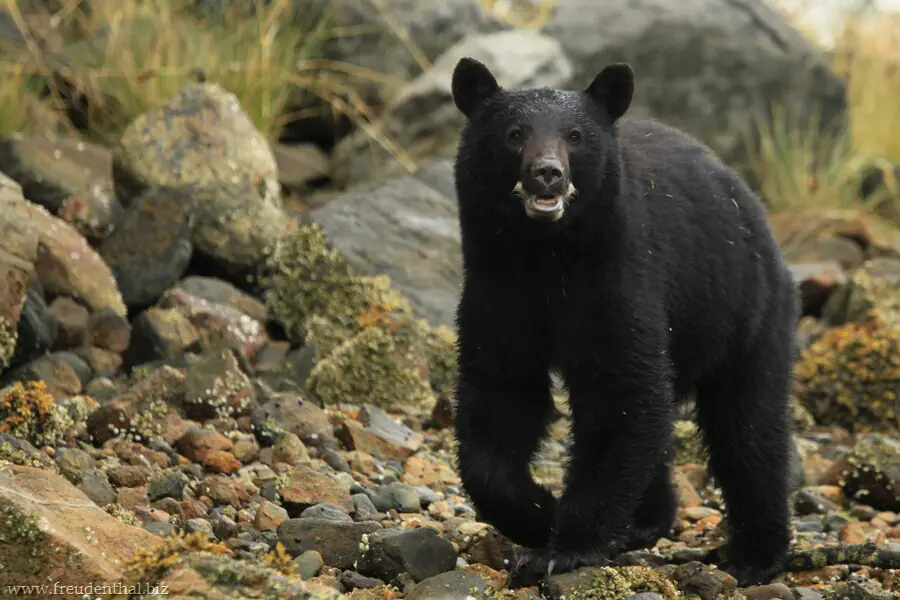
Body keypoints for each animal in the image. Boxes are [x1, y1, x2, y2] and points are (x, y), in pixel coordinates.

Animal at [448, 57, 796, 592]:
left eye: (574, 136)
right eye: (514, 133)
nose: (547, 174)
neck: (544, 254)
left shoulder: (617, 277)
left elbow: (622, 394)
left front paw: (564, 548)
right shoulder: (497, 286)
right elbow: (500, 394)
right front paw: (537, 511)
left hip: (748, 312)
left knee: (749, 429)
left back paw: (755, 555)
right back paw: (644, 521)